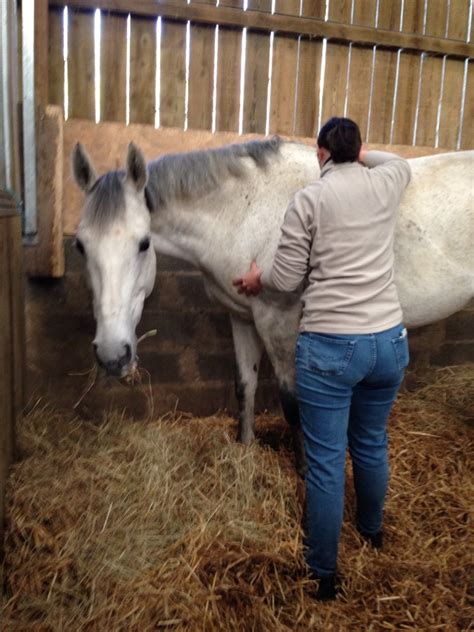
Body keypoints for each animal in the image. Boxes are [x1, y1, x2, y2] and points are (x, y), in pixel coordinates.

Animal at [72, 138, 472, 472]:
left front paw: (305, 471)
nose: (113, 355)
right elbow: (244, 386)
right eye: (80, 246)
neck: (243, 213)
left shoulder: (278, 322)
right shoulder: (242, 318)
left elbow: (293, 402)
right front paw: (246, 448)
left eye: (143, 243)